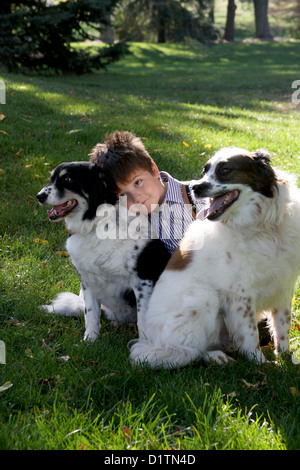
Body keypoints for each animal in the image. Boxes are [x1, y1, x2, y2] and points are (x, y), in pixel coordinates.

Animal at [36, 162, 170, 342]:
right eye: (52, 178)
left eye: (68, 179)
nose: (39, 196)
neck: (96, 224)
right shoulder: (88, 279)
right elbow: (91, 314)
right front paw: (90, 340)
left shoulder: (142, 281)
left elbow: (143, 320)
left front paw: (144, 345)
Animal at [130, 147, 300, 368]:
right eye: (205, 171)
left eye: (225, 170)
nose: (196, 187)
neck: (262, 228)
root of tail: (155, 341)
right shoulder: (240, 294)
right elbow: (250, 333)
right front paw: (260, 364)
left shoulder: (284, 288)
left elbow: (282, 328)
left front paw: (285, 359)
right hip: (205, 298)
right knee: (189, 351)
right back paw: (217, 357)